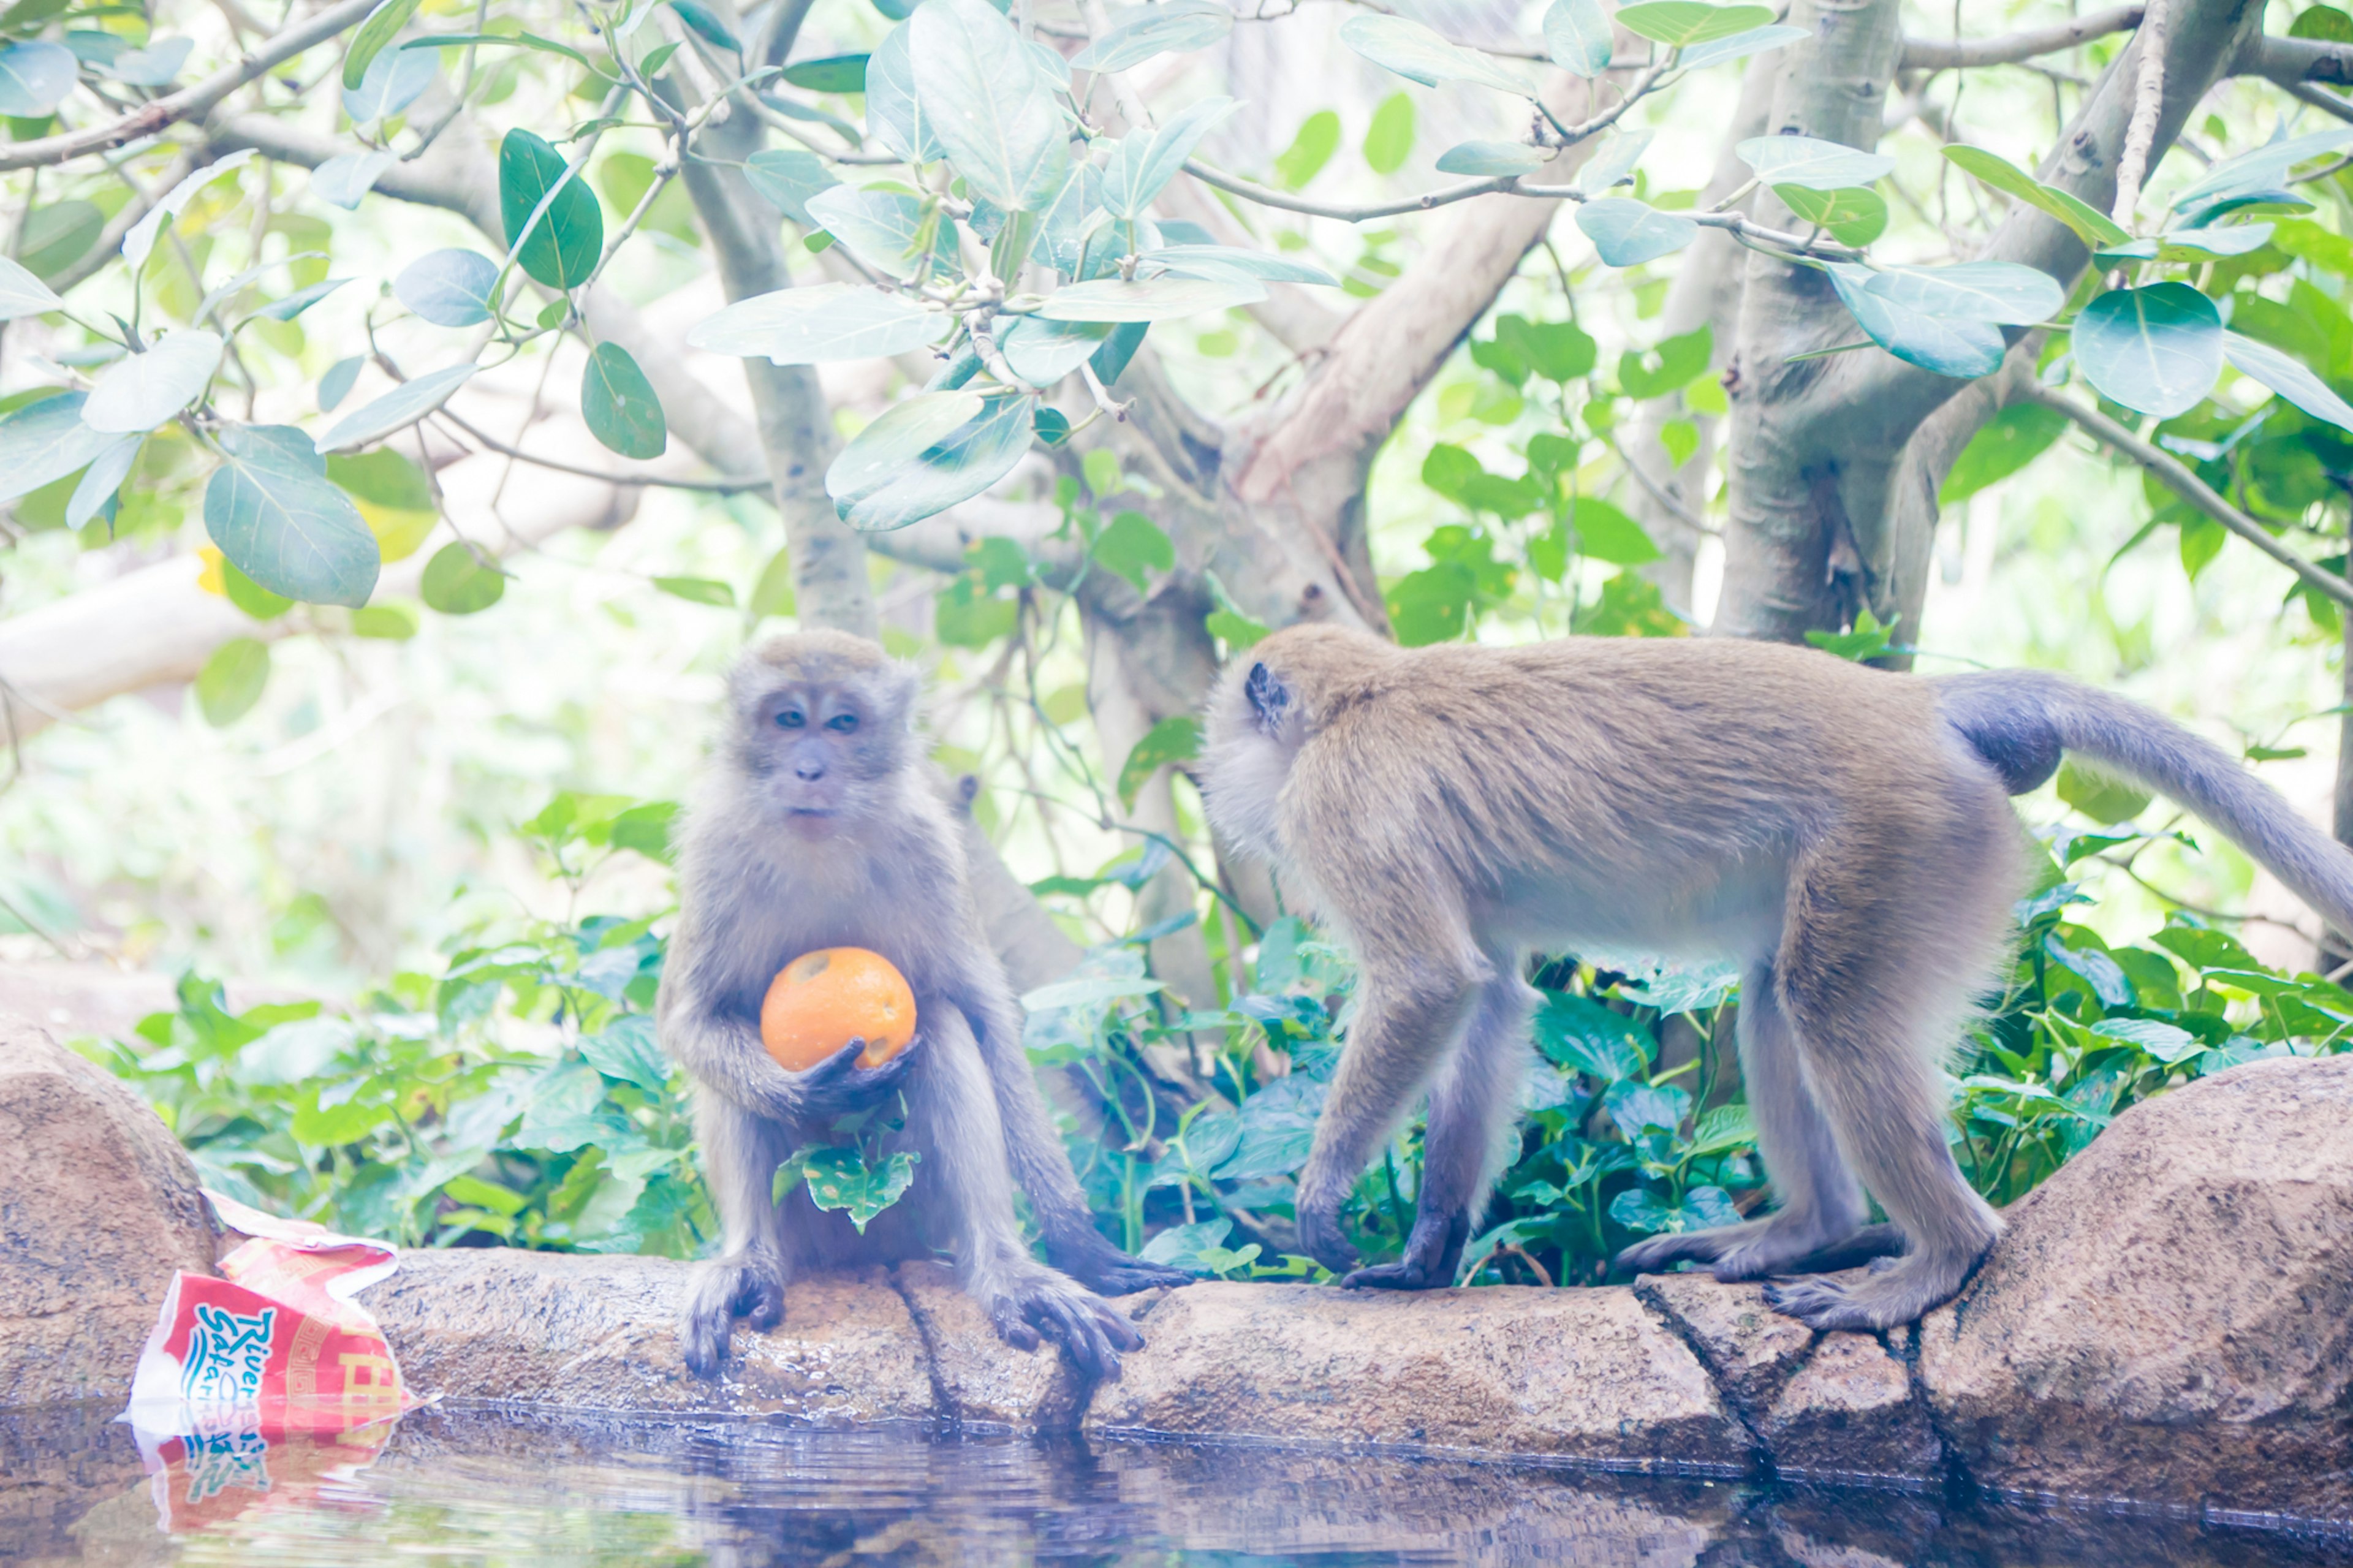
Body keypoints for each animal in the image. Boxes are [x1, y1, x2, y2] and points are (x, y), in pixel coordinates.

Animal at [663, 631, 1186, 1374]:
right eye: (788, 719)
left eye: (843, 723)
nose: (809, 769)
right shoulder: (712, 854)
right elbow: (691, 1021)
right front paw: (807, 1092)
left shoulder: (931, 850)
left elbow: (987, 1020)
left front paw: (1079, 1246)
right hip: (812, 1216)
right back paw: (750, 1261)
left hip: (909, 1203)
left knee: (940, 1022)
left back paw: (1008, 1272)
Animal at [1205, 616, 2343, 1328]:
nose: (1207, 773)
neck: (1365, 693)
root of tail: (1912, 701)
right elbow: (1488, 994)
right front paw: (1426, 1252)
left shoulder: (1341, 797)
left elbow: (1429, 981)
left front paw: (1322, 1202)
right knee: (1774, 997)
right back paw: (1811, 1231)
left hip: (1910, 835)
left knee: (1827, 1007)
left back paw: (1939, 1256)